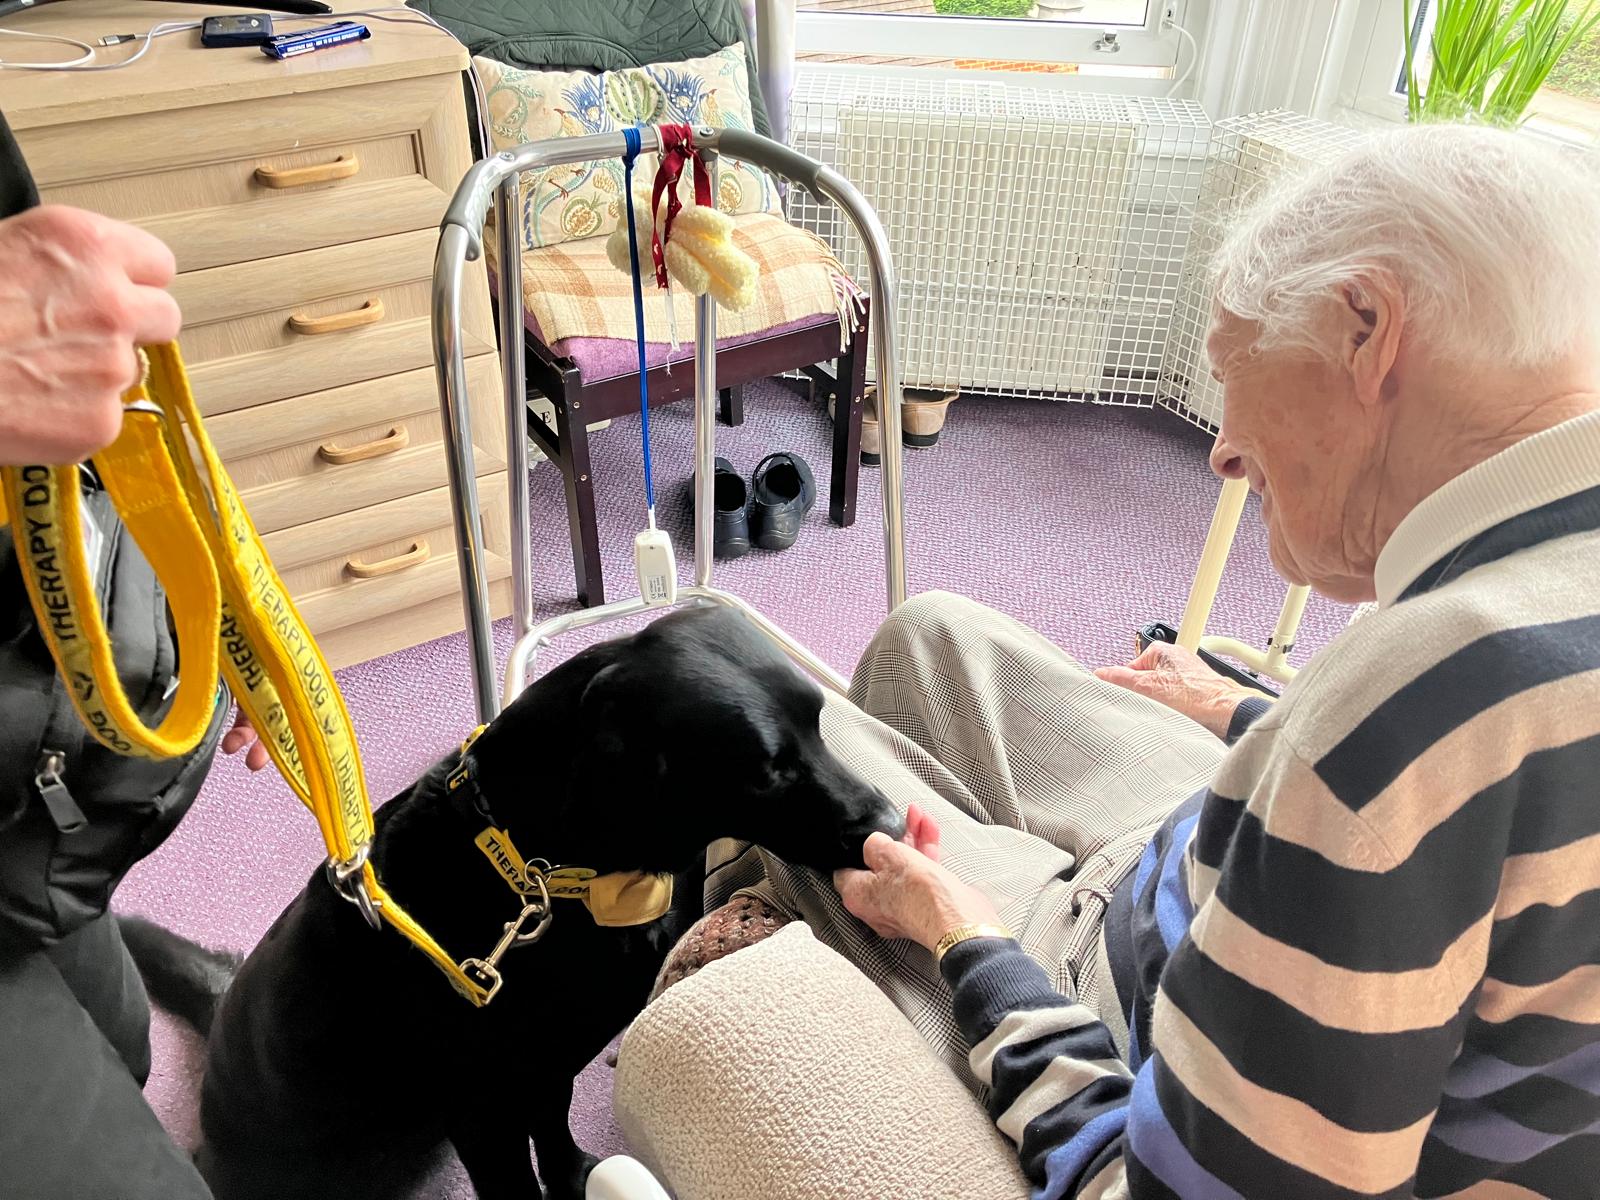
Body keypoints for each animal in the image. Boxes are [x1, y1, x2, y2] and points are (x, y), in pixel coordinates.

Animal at [123, 606, 902, 1200]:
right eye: (768, 772)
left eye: (820, 721)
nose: (892, 825)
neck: (541, 878)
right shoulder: (484, 1116)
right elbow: (515, 1186)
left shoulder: (546, 1070)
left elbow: (554, 1136)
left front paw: (576, 1178)